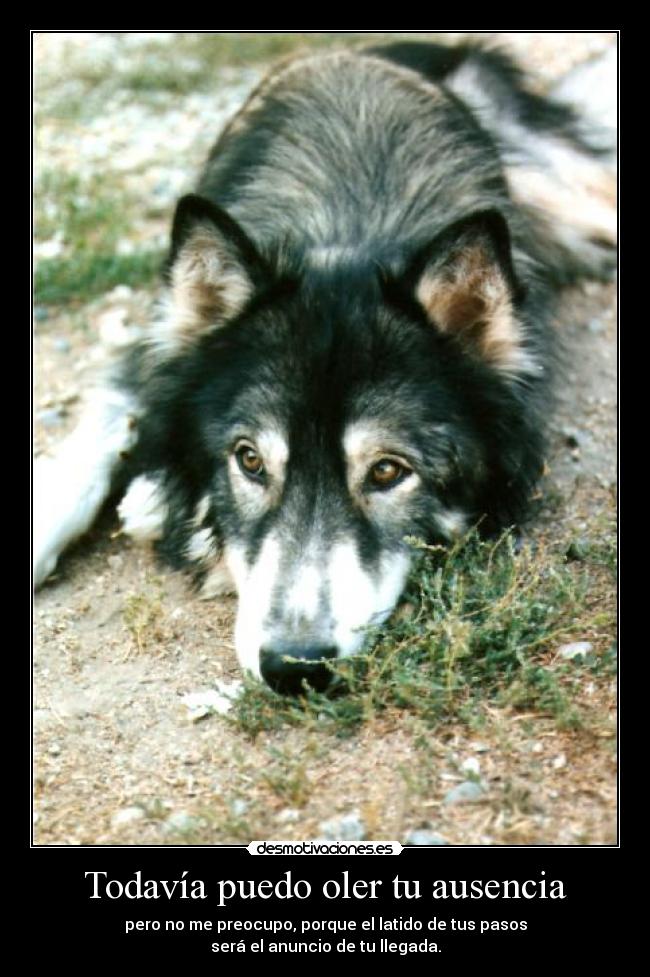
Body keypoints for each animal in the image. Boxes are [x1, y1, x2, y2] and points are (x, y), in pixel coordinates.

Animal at [33, 40, 616, 692]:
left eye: (388, 471)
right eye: (250, 461)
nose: (294, 668)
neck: (349, 232)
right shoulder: (152, 348)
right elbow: (101, 430)